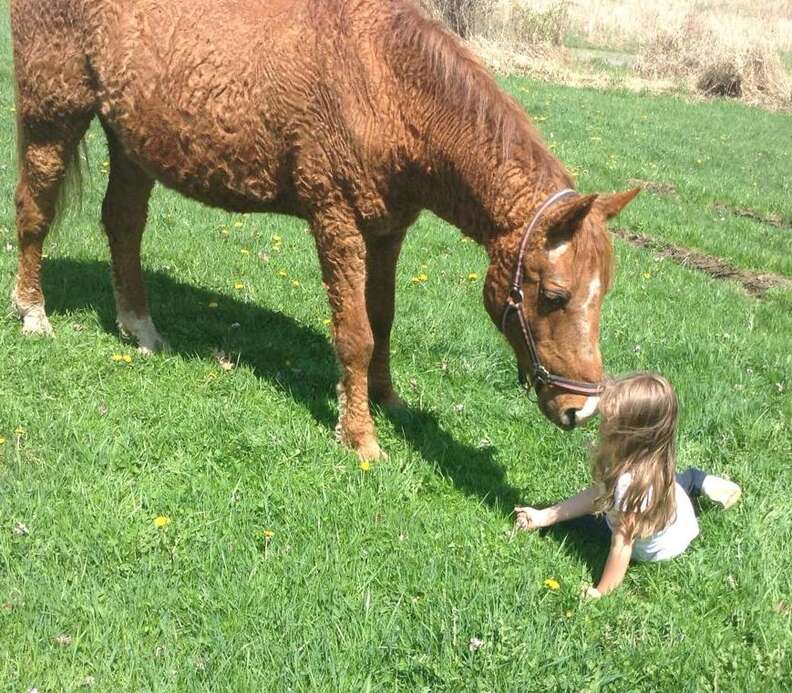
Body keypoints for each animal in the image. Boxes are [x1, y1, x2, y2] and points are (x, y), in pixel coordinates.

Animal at [10, 0, 638, 460]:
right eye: (554, 296)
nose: (581, 410)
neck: (384, 81)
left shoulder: (386, 231)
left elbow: (382, 319)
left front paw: (385, 397)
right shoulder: (337, 220)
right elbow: (355, 334)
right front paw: (359, 436)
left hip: (131, 140)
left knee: (123, 224)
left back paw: (139, 326)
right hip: (52, 112)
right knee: (33, 210)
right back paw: (33, 311)